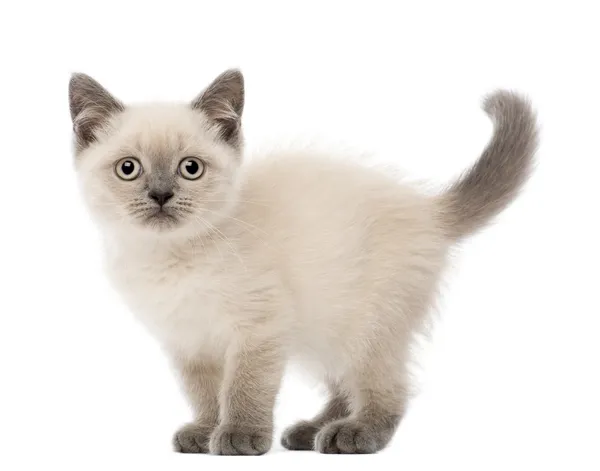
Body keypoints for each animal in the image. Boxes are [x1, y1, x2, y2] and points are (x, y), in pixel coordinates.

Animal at [70, 68, 540, 456]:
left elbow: (243, 388)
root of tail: (428, 210)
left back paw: (352, 434)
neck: (170, 255)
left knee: (387, 390)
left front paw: (239, 436)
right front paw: (204, 432)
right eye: (128, 169)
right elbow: (204, 392)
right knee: (344, 386)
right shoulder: (188, 340)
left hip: (365, 326)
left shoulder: (259, 328)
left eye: (190, 168)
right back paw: (310, 432)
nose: (161, 195)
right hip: (325, 329)